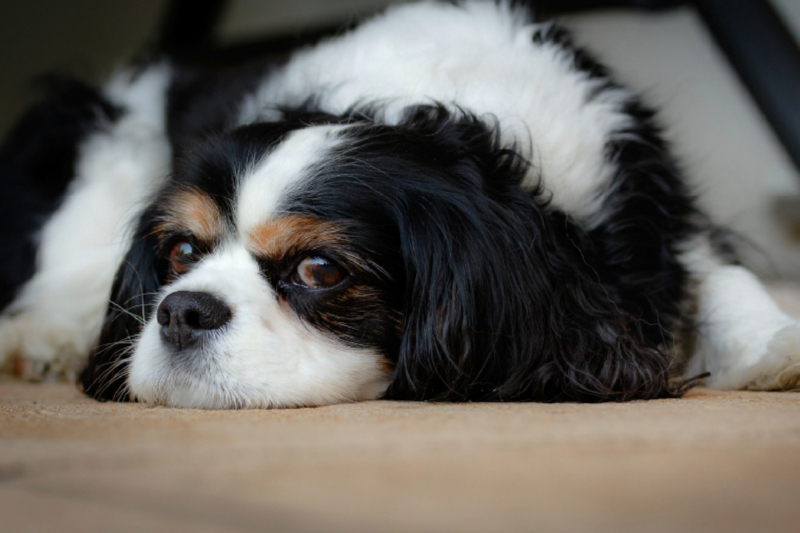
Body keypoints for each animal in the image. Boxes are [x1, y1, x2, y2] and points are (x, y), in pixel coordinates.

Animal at [0, 1, 796, 408]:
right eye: (181, 251)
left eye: (320, 270)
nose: (180, 310)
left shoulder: (662, 221)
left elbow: (719, 275)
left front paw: (772, 344)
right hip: (104, 129)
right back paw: (40, 337)